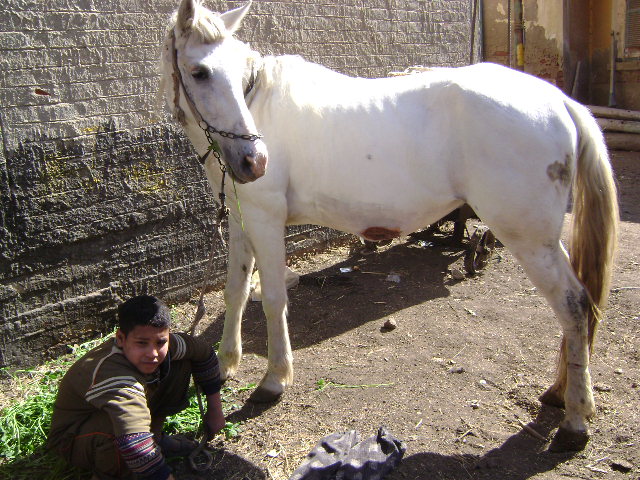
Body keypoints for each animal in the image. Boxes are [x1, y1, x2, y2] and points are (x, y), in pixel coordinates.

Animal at [161, 0, 620, 452]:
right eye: (200, 72)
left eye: (237, 74)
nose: (254, 162)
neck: (260, 104)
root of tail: (560, 101)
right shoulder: (243, 221)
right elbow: (235, 292)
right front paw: (224, 364)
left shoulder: (266, 219)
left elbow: (272, 299)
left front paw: (273, 380)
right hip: (543, 240)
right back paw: (560, 395)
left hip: (529, 238)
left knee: (574, 305)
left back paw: (575, 420)